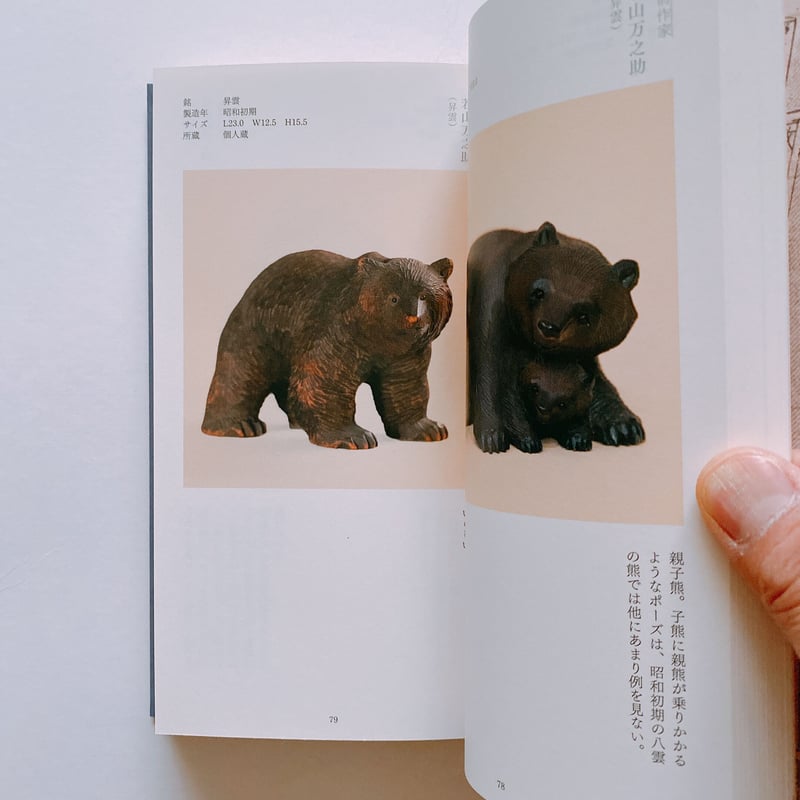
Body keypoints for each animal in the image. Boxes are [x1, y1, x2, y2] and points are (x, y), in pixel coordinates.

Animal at [201, 249, 454, 450]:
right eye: (393, 298)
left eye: (424, 296)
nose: (413, 316)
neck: (380, 338)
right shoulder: (339, 331)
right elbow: (325, 380)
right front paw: (354, 436)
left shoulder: (409, 352)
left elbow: (405, 386)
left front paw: (429, 428)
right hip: (258, 328)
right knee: (241, 372)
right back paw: (238, 425)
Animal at [467, 221, 644, 453]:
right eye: (539, 292)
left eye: (584, 315)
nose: (549, 327)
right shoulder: (493, 297)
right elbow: (488, 363)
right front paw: (493, 436)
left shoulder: (582, 351)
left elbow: (589, 377)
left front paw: (623, 426)